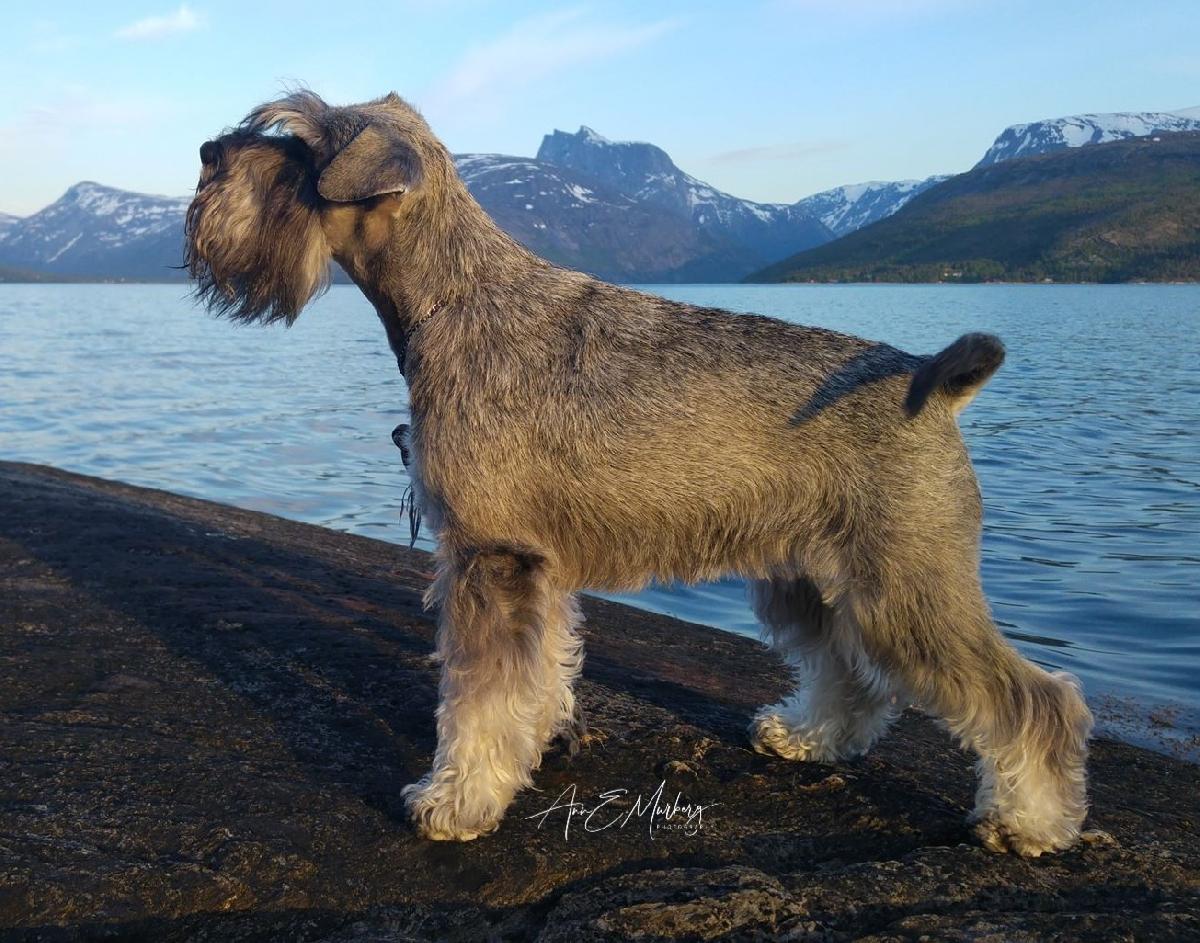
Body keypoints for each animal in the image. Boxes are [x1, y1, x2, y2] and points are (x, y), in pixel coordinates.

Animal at [185, 91, 1092, 856]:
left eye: (297, 142)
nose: (204, 151)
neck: (457, 296)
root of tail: (930, 381)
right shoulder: (534, 564)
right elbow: (539, 669)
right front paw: (531, 745)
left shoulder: (489, 554)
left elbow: (477, 697)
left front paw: (456, 799)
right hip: (810, 574)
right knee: (852, 676)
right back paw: (806, 737)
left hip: (909, 584)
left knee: (1034, 700)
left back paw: (1028, 822)